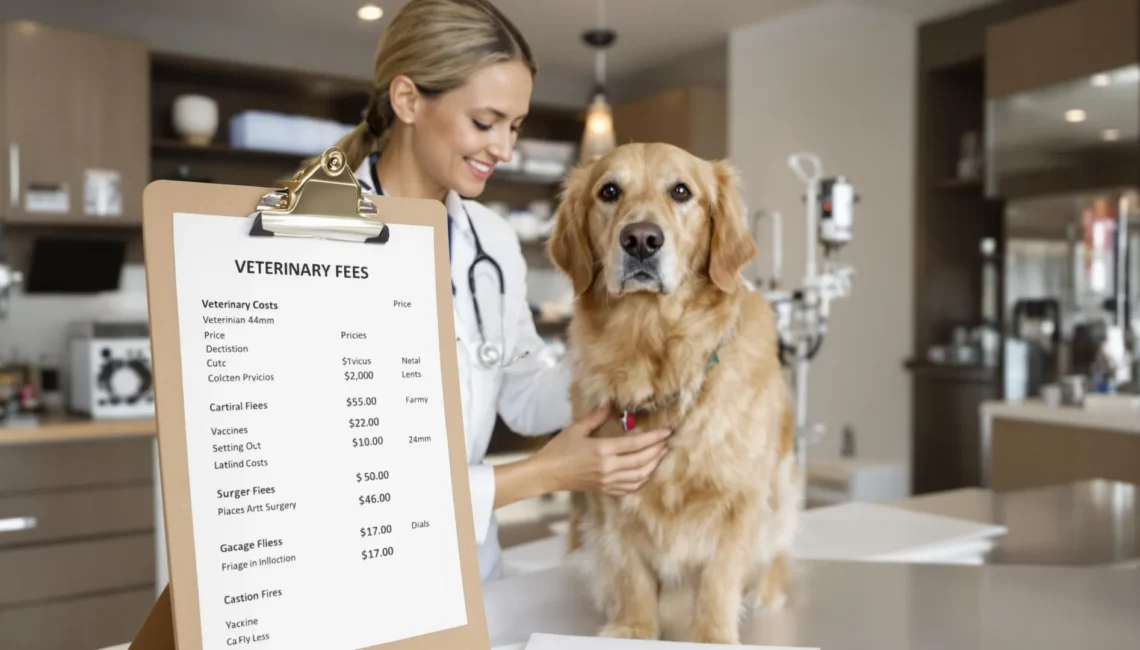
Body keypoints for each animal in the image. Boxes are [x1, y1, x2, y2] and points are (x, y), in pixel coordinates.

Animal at [544, 143, 798, 643]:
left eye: (681, 191)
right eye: (609, 191)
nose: (641, 239)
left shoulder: (741, 499)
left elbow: (719, 577)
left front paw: (713, 636)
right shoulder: (610, 496)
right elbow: (631, 573)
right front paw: (634, 628)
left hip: (782, 487)